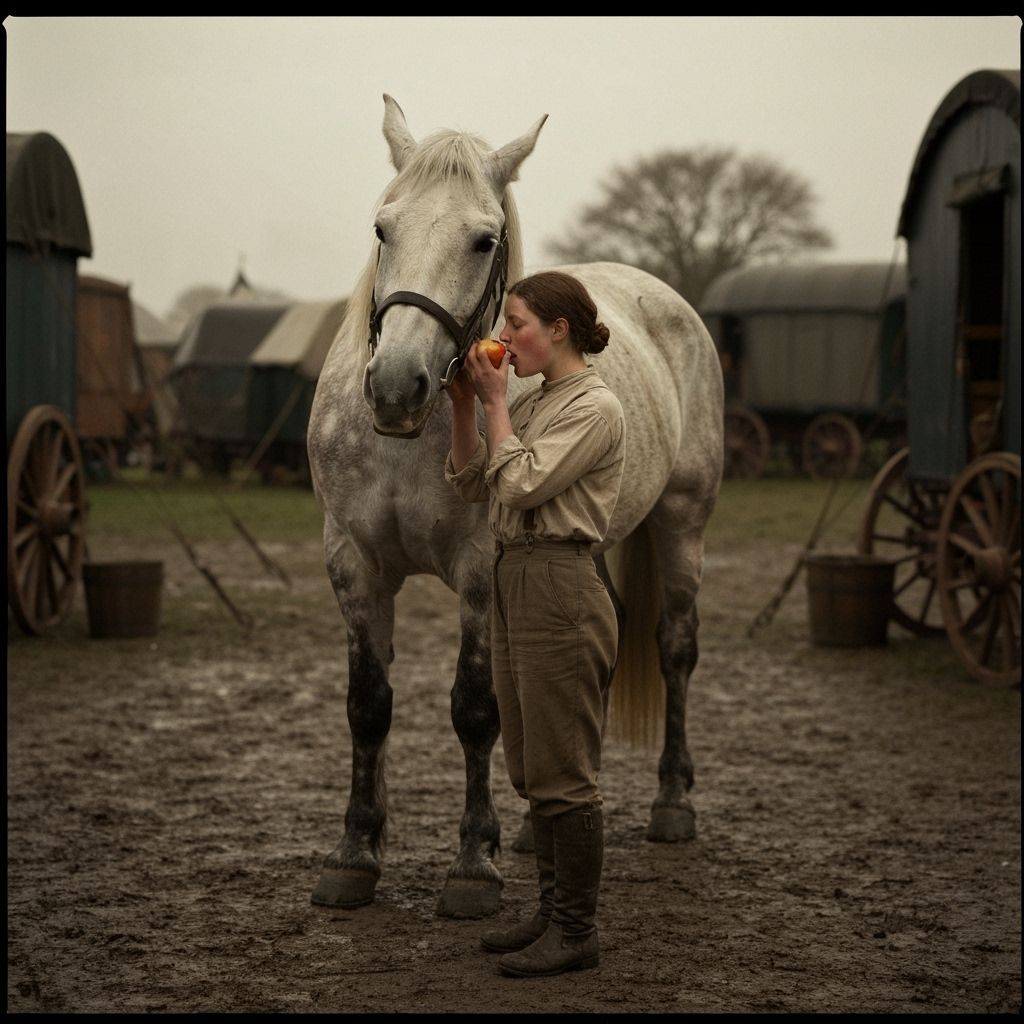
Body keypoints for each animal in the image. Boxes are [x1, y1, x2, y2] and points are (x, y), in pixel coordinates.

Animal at [306, 95, 724, 918]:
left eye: (483, 239)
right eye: (383, 228)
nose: (396, 386)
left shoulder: (480, 570)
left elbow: (476, 708)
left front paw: (474, 864)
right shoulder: (354, 564)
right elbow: (368, 705)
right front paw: (355, 855)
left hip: (681, 523)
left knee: (675, 647)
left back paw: (672, 804)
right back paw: (543, 824)